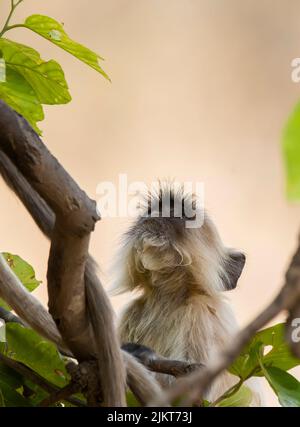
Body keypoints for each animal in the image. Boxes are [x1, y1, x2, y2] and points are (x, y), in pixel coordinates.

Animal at [112, 185, 262, 408]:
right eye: (153, 209)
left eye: (183, 213)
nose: (162, 211)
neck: (167, 300)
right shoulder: (131, 311)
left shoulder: (201, 312)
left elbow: (195, 390)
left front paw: (140, 355)